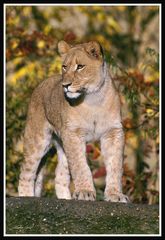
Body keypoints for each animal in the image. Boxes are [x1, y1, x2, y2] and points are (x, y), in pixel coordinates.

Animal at [18, 41, 129, 202]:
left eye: (80, 66)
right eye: (64, 66)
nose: (65, 85)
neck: (93, 99)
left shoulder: (113, 132)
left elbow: (115, 165)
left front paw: (115, 195)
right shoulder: (73, 133)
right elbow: (80, 166)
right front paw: (85, 192)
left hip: (61, 143)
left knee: (60, 176)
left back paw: (66, 198)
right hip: (37, 139)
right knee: (26, 172)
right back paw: (26, 197)